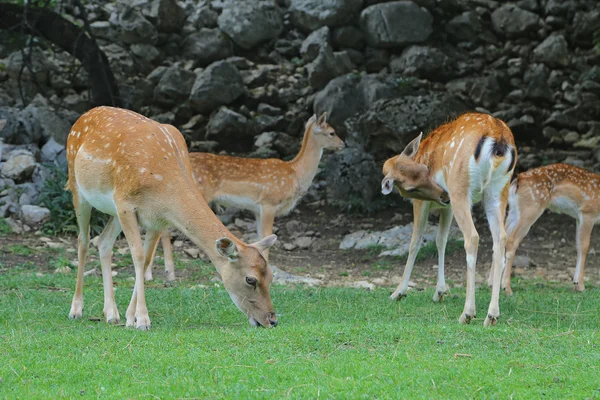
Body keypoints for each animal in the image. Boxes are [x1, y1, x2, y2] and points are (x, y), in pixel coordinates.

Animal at [64, 104, 280, 330]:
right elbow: (138, 256)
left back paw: (111, 314)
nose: (272, 320)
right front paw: (142, 320)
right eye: (250, 279)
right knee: (83, 241)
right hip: (77, 187)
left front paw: (130, 317)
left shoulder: (157, 218)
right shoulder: (125, 204)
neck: (163, 185)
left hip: (113, 211)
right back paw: (76, 310)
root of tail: (84, 115)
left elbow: (146, 259)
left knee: (104, 241)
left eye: (271, 277)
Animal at [146, 112, 344, 282]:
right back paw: (166, 274)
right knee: (165, 229)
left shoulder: (257, 209)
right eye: (332, 132)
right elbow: (267, 235)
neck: (295, 174)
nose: (343, 144)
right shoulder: (269, 201)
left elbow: (260, 237)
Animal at [382, 111, 516, 324]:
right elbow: (441, 240)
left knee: (472, 237)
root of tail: (499, 137)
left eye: (411, 189)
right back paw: (492, 315)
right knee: (500, 239)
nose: (443, 195)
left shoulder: (422, 204)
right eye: (421, 170)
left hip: (459, 188)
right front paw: (439, 292)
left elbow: (415, 242)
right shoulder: (448, 208)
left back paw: (468, 313)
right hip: (498, 190)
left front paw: (398, 293)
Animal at [502, 164, 600, 296]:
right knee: (511, 241)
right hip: (531, 208)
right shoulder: (587, 212)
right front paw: (580, 285)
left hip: (515, 210)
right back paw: (507, 288)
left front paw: (576, 283)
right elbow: (584, 247)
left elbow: (578, 246)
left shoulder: (578, 217)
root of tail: (519, 179)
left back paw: (491, 284)